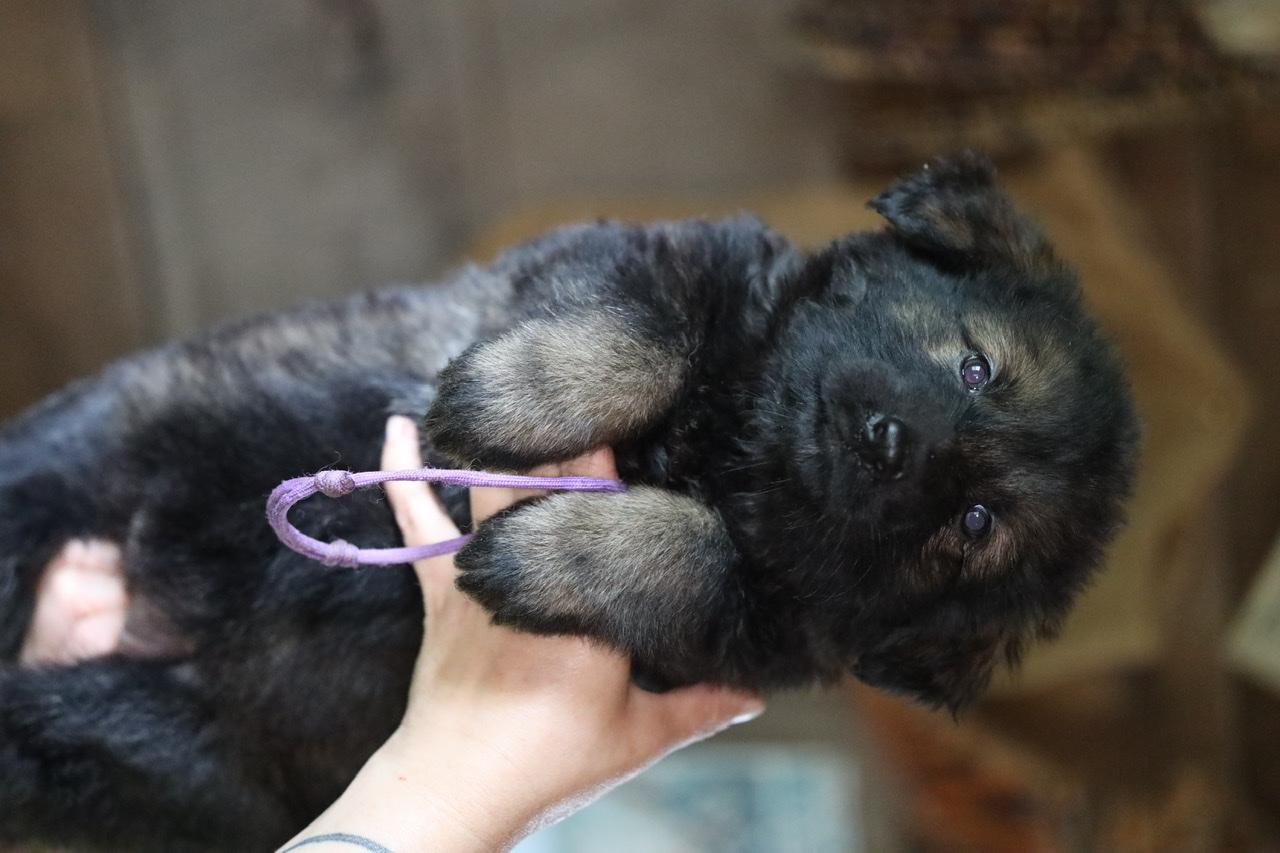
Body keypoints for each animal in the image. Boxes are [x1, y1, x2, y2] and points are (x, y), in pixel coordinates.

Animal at [0, 153, 1138, 850]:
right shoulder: (631, 259)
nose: (889, 444)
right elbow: (648, 328)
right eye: (974, 366)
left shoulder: (744, 634)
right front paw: (506, 397)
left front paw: (554, 552)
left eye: (976, 525)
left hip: (158, 744)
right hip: (80, 457)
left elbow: (703, 556)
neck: (732, 446)